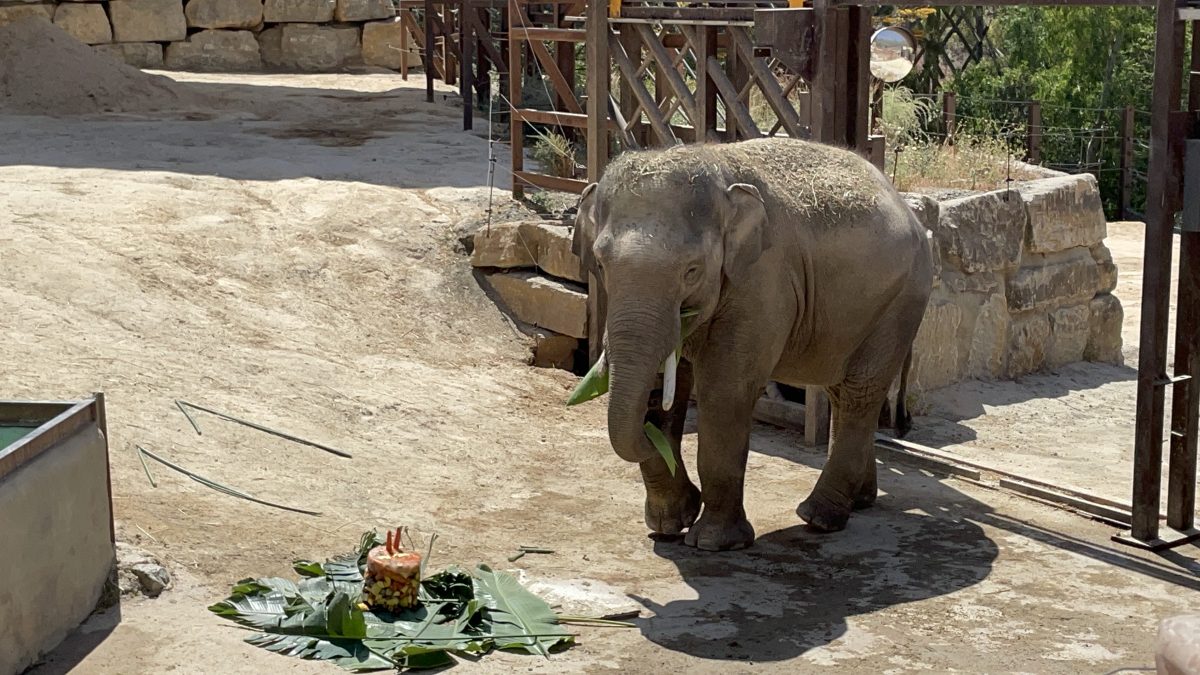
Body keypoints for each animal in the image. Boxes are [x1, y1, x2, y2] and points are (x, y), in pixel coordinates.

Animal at [572, 136, 934, 551]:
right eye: (601, 265)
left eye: (692, 270)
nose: (651, 440)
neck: (717, 173)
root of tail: (909, 209)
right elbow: (667, 384)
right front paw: (669, 524)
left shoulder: (762, 282)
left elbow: (725, 391)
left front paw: (712, 542)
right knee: (843, 391)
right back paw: (858, 502)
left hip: (902, 302)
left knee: (861, 391)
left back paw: (819, 518)